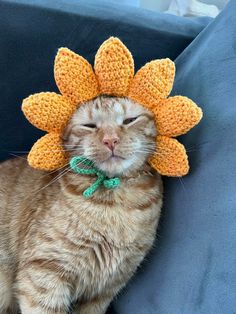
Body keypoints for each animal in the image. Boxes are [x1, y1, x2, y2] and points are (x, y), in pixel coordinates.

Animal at [0, 96, 162, 314]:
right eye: (89, 126)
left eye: (130, 120)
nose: (110, 140)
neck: (115, 205)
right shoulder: (43, 274)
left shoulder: (105, 291)